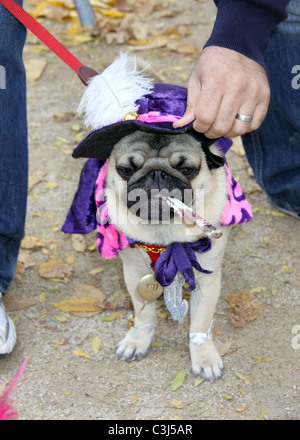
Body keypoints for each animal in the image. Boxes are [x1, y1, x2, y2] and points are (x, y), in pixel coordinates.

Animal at [104, 129, 231, 380]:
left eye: (187, 169)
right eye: (127, 170)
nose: (157, 173)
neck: (163, 230)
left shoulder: (207, 280)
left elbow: (201, 323)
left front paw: (204, 356)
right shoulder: (134, 274)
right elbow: (144, 315)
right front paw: (138, 340)